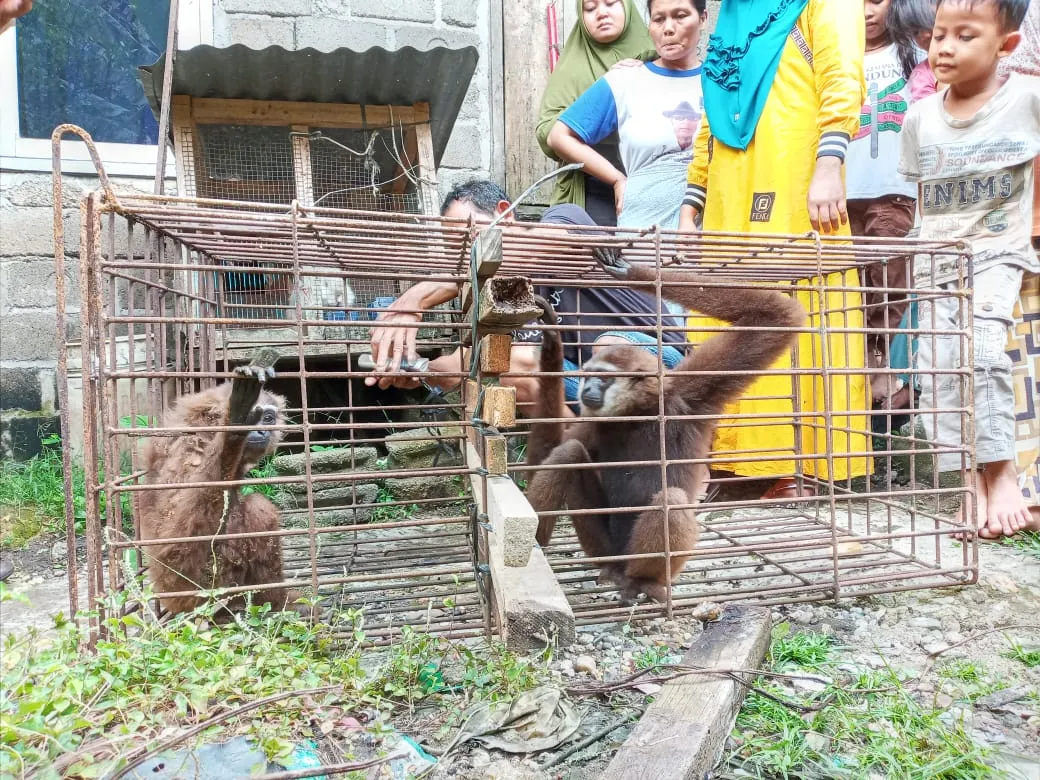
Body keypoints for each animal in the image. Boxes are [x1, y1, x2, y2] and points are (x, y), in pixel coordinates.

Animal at [137, 353, 308, 619]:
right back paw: (274, 603)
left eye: (268, 418)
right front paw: (233, 430)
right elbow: (174, 544)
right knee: (258, 508)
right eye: (254, 418)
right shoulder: (191, 448)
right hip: (208, 587)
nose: (261, 430)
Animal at [525, 250, 807, 603]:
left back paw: (641, 581)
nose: (587, 389)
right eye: (588, 376)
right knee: (569, 454)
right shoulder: (594, 422)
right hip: (604, 548)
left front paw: (631, 272)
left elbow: (778, 316)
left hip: (650, 561)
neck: (638, 415)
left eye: (602, 378)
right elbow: (544, 460)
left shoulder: (689, 397)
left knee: (670, 500)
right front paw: (551, 340)